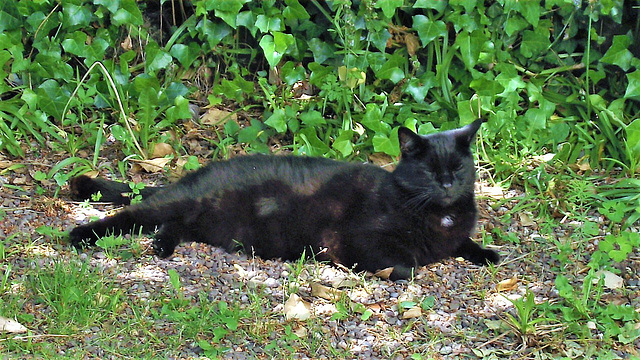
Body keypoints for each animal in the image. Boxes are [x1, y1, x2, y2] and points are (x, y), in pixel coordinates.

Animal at [70, 119, 500, 280]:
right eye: (429, 171)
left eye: (457, 168)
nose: (447, 184)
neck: (437, 214)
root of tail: (198, 175)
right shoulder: (360, 239)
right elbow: (406, 264)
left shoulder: (453, 232)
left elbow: (462, 241)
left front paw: (486, 253)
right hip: (178, 204)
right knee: (132, 214)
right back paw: (80, 235)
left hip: (203, 221)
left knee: (170, 225)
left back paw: (162, 246)